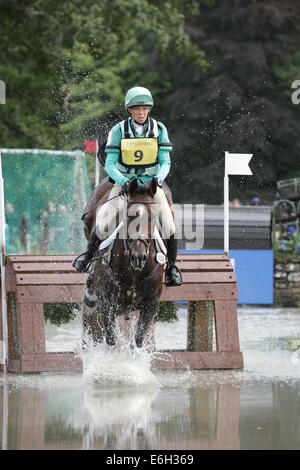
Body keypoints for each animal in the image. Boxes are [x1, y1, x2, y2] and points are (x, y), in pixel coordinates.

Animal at [81, 176, 173, 348]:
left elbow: (137, 340)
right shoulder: (107, 305)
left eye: (153, 217)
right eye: (128, 216)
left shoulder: (150, 305)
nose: (138, 257)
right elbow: (111, 340)